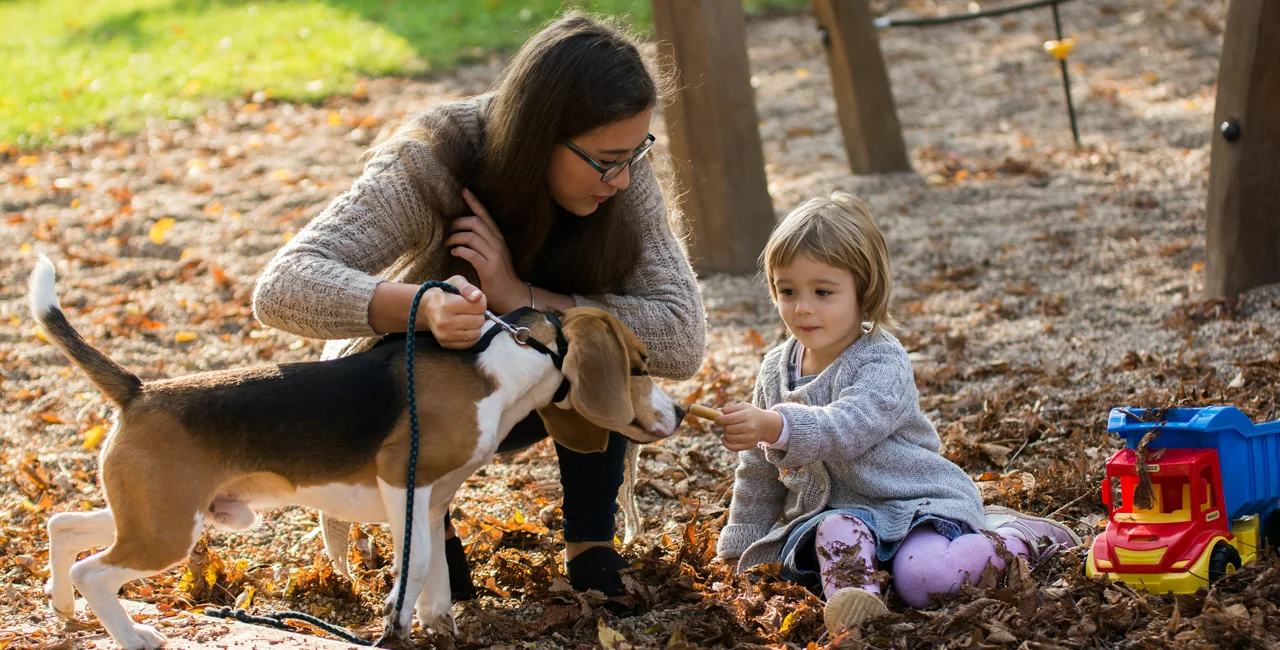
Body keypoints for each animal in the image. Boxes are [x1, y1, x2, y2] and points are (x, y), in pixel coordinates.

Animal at [27, 255, 685, 650]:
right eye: (639, 366)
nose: (679, 414)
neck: (511, 361)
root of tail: (140, 390)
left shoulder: (432, 499)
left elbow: (435, 572)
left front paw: (438, 628)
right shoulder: (401, 480)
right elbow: (415, 568)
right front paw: (395, 623)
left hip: (156, 514)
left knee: (64, 526)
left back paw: (59, 606)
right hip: (167, 529)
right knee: (94, 570)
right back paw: (132, 635)